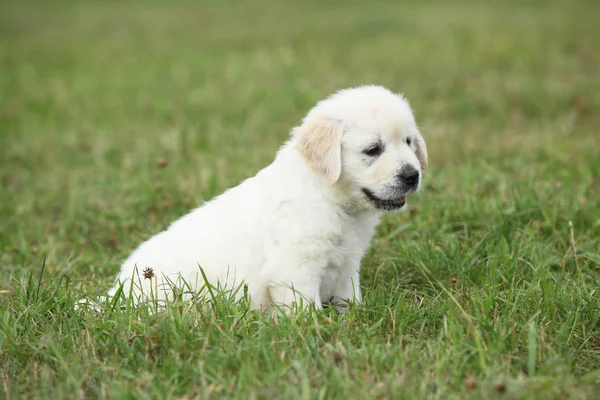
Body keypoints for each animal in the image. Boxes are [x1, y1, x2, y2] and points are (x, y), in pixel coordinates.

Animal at [106, 86, 426, 310]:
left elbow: (349, 298)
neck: (326, 194)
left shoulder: (347, 263)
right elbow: (305, 310)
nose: (412, 176)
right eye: (373, 150)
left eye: (408, 141)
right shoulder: (295, 268)